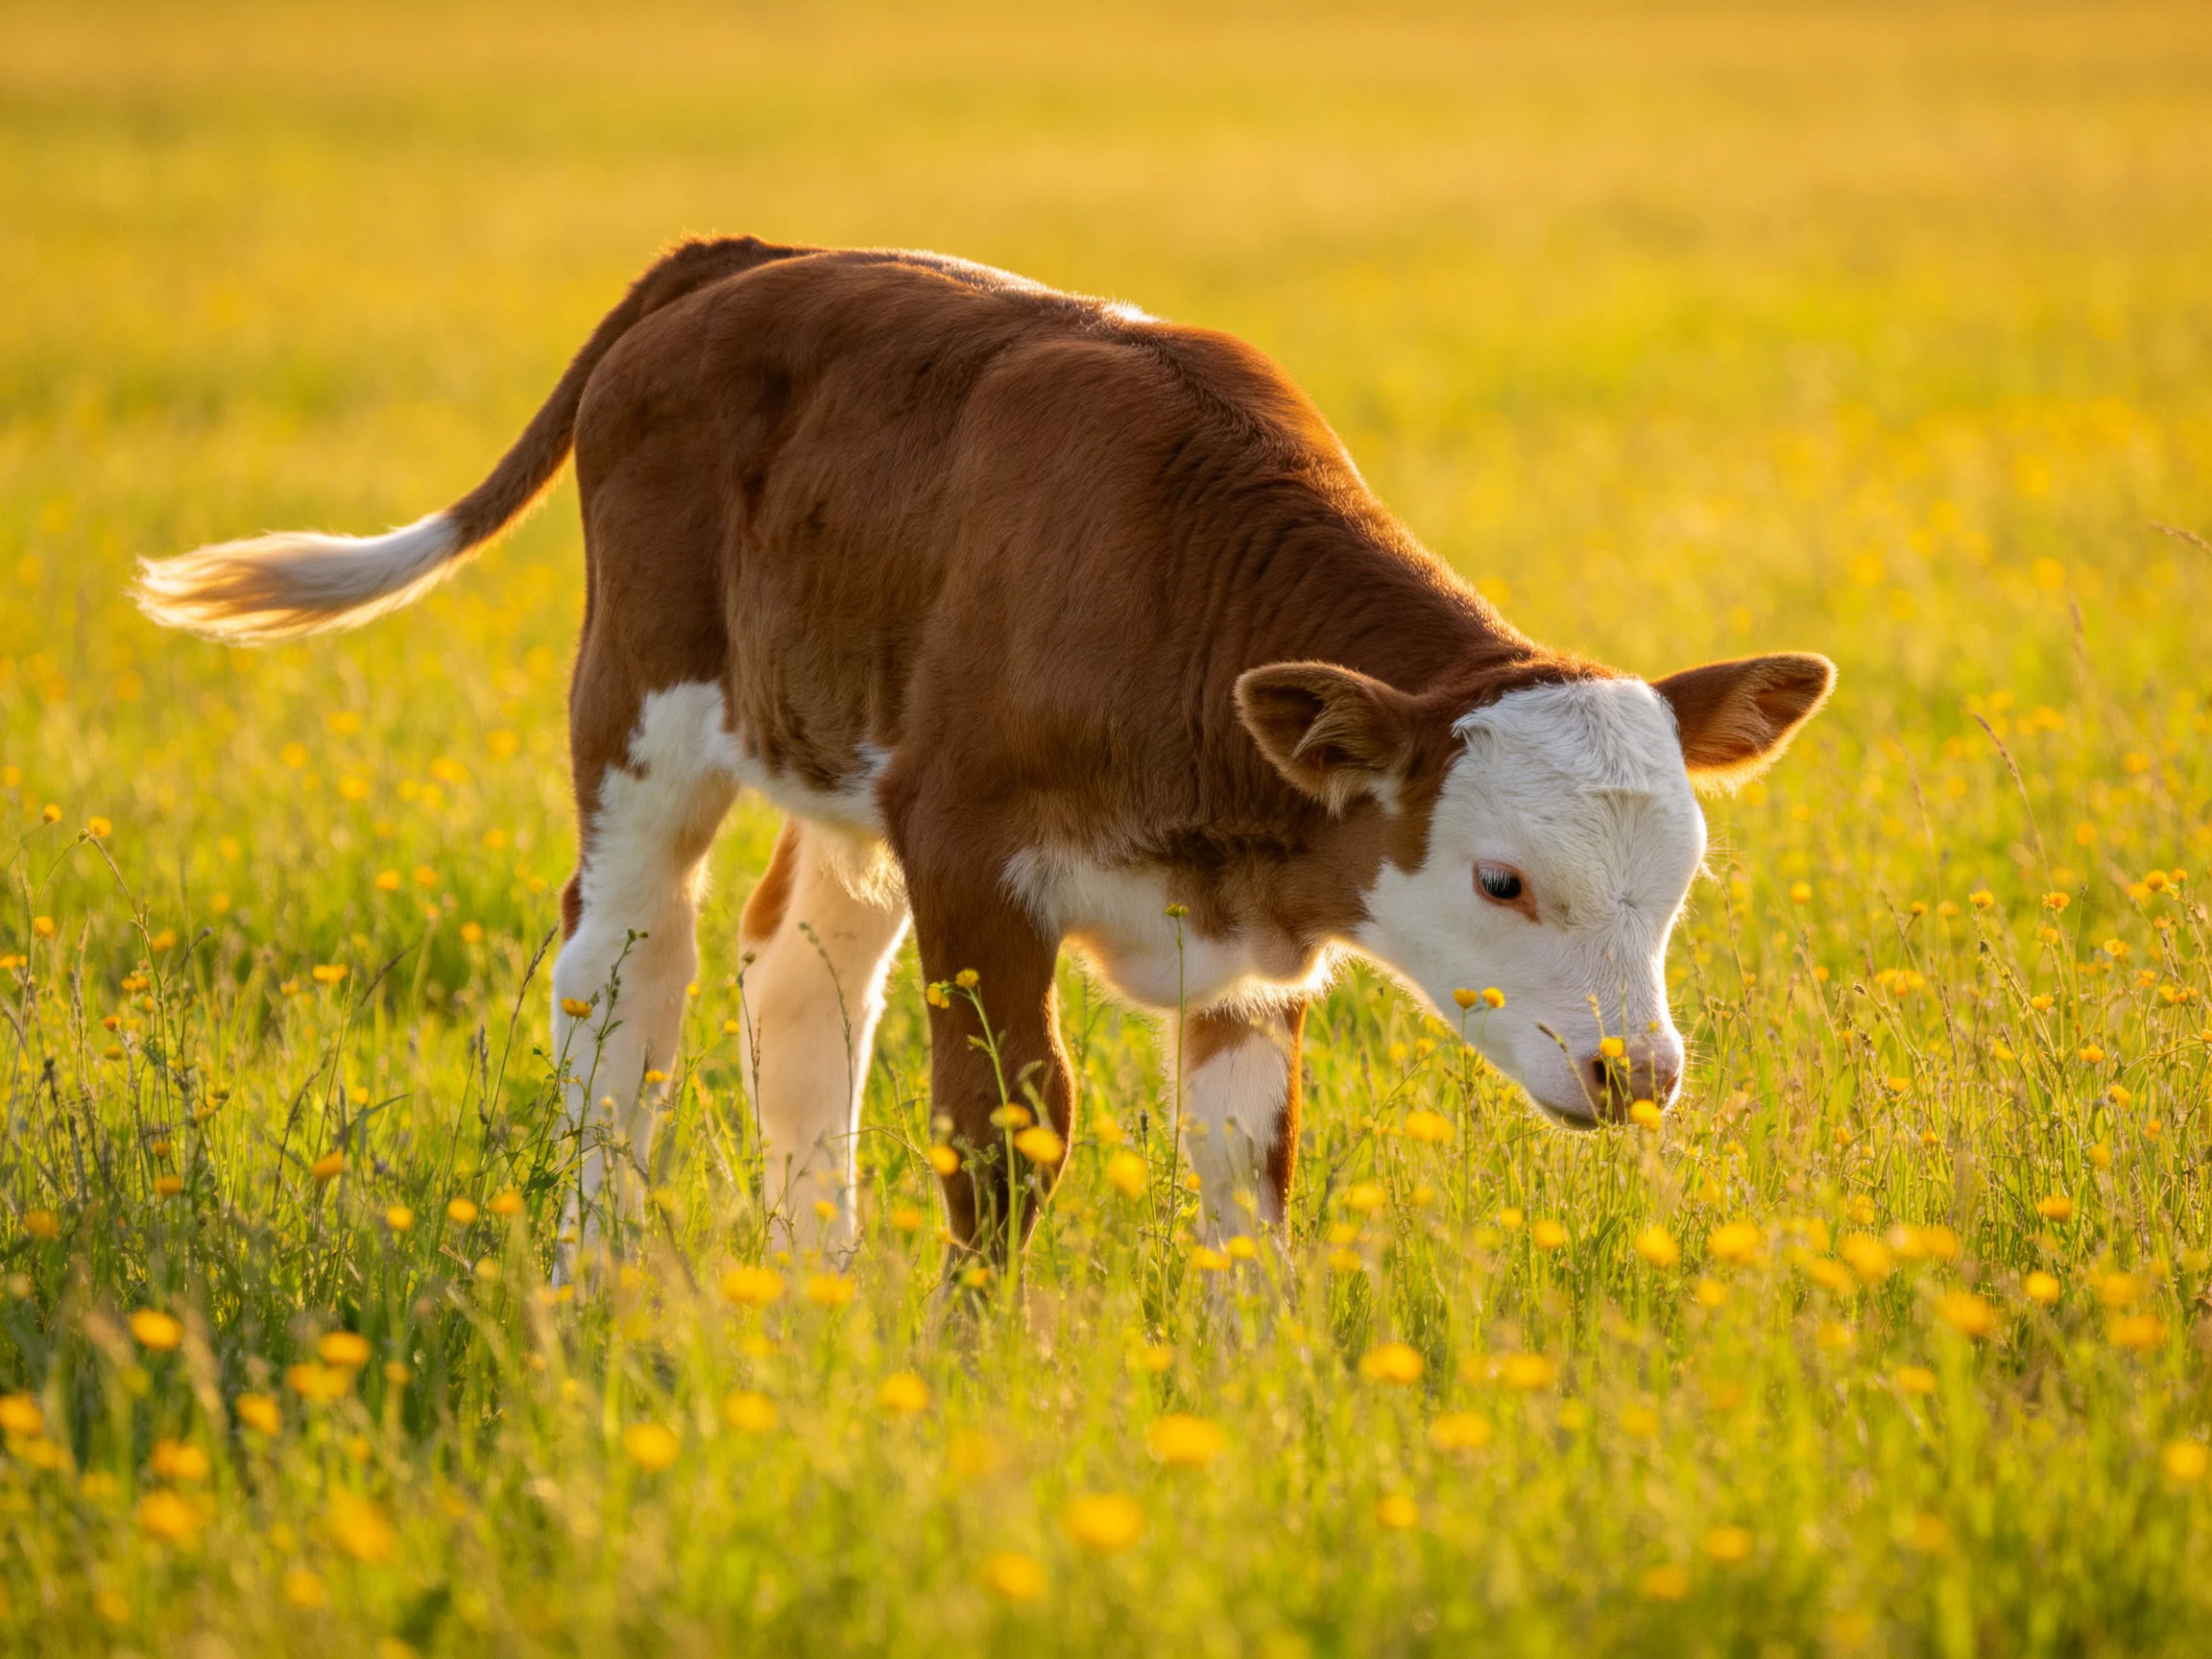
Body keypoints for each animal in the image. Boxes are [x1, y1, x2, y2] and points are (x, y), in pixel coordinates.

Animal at [136, 236, 1833, 1264]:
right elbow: (1009, 1139)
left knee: (799, 974)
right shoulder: (971, 854)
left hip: (843, 767)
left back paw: (812, 1284)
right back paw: (595, 1275)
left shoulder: (1248, 936)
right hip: (639, 709)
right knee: (623, 972)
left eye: (1679, 883)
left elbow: (1248, 1163)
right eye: (1500, 880)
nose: (1636, 1075)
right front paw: (970, 1379)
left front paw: (1260, 1392)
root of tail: (749, 259)